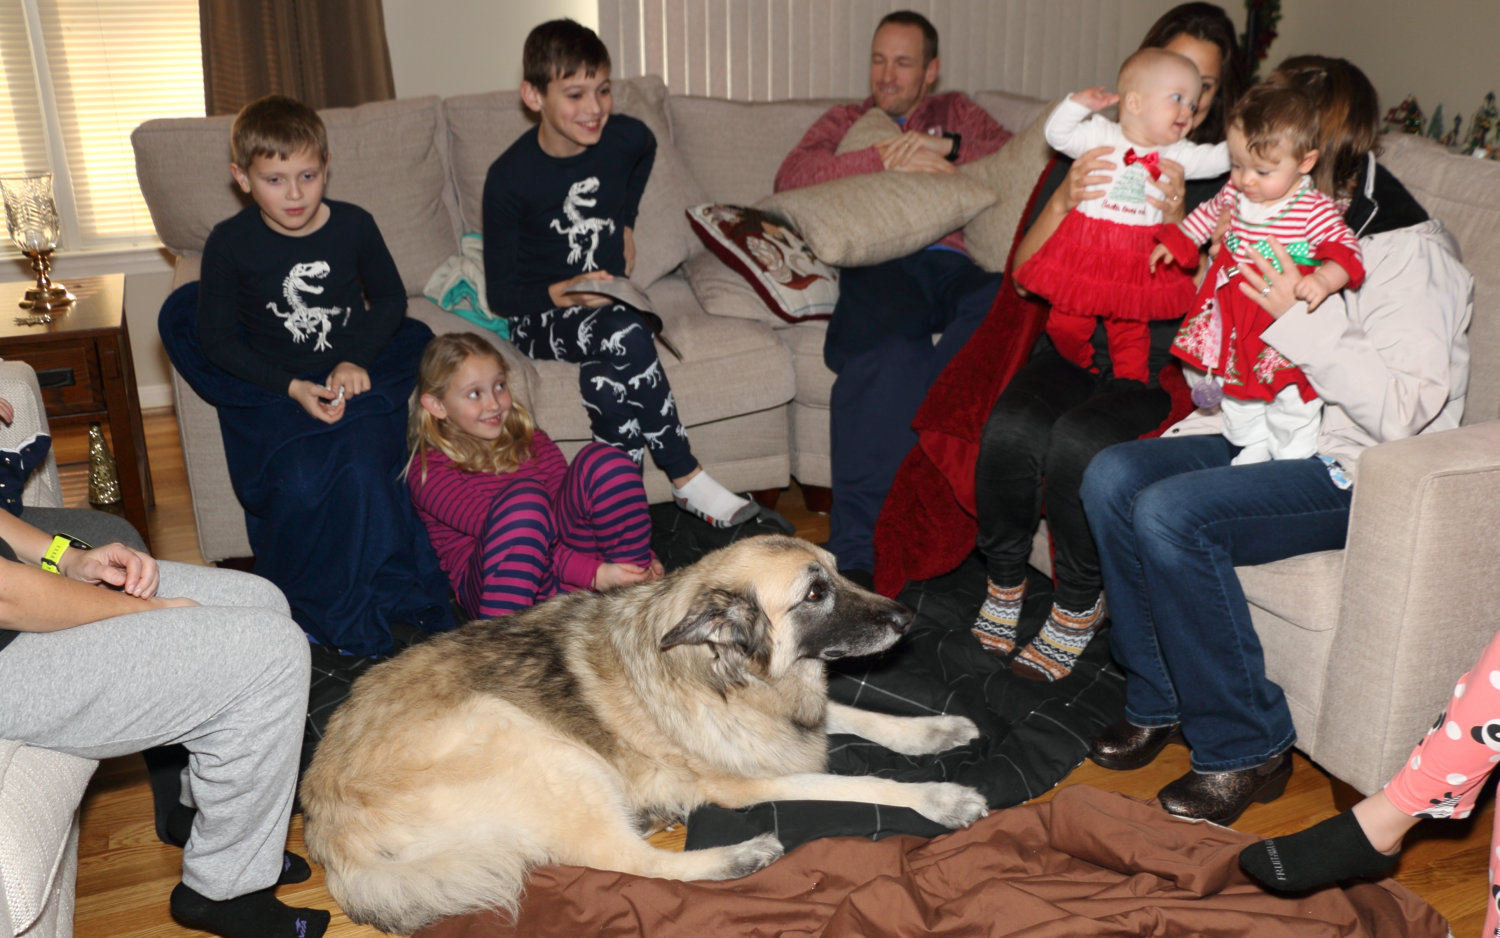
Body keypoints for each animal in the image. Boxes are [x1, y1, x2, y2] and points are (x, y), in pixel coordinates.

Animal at [300, 535, 987, 934]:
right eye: (815, 592)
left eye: (841, 576)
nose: (906, 617)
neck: (718, 670)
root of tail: (328, 827)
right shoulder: (755, 778)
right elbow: (865, 781)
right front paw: (941, 798)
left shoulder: (794, 720)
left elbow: (857, 716)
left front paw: (935, 729)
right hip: (533, 742)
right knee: (632, 865)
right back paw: (735, 856)